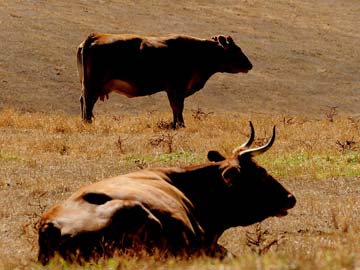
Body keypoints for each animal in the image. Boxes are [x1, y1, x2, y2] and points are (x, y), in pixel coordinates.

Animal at [77, 34, 252, 129]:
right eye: (236, 49)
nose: (250, 65)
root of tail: (96, 36)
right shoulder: (178, 87)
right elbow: (178, 107)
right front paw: (181, 125)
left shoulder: (171, 89)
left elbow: (174, 108)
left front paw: (175, 125)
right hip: (94, 85)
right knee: (88, 101)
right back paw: (88, 121)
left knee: (84, 101)